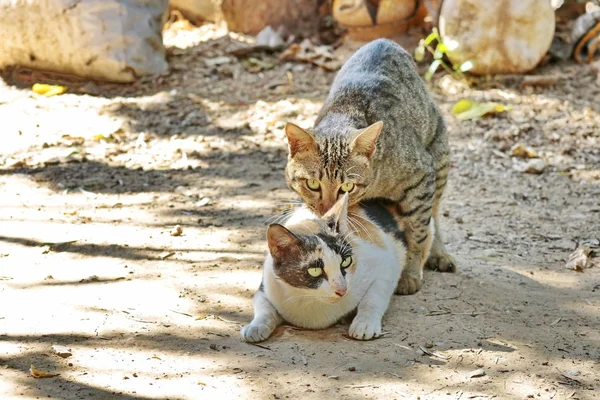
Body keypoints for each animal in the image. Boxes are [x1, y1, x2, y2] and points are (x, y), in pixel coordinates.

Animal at [241, 195, 434, 344]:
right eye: (315, 271)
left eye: (346, 262)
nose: (342, 290)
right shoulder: (266, 286)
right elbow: (264, 308)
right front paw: (255, 326)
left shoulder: (386, 264)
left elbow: (373, 297)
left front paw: (364, 323)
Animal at [284, 37, 452, 296]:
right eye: (312, 184)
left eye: (347, 187)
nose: (326, 208)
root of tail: (385, 40)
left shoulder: (422, 176)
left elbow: (418, 231)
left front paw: (411, 272)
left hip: (439, 156)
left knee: (433, 214)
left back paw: (439, 252)